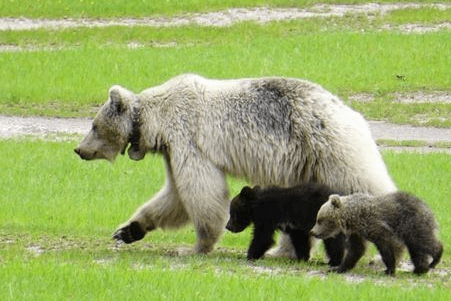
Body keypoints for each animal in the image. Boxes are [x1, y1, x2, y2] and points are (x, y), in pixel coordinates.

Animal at [74, 74, 396, 254]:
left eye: (93, 125)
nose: (78, 150)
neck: (157, 121)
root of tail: (352, 113)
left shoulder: (188, 140)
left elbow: (201, 191)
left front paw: (197, 246)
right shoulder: (171, 150)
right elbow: (173, 196)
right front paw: (127, 230)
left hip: (331, 149)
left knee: (365, 184)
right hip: (307, 166)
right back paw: (286, 251)